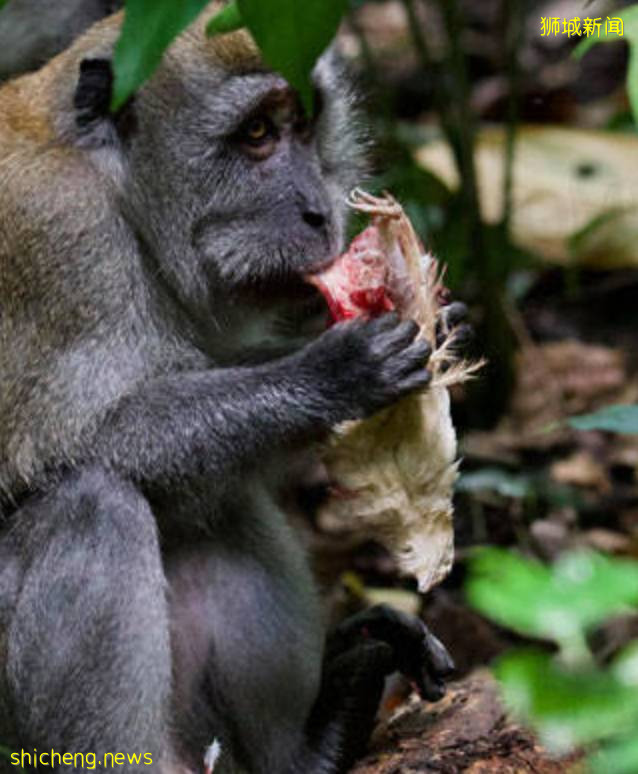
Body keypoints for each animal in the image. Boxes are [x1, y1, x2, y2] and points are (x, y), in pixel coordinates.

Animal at [0, 6, 456, 774]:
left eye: (304, 124)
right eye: (257, 133)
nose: (320, 212)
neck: (115, 189)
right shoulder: (63, 246)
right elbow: (82, 442)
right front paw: (326, 376)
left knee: (219, 507)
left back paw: (312, 741)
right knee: (93, 506)